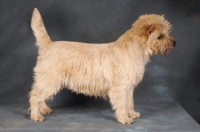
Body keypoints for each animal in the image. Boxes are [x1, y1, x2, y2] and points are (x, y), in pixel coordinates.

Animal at [28, 8, 176, 124]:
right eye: (160, 36)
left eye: (167, 32)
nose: (175, 43)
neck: (136, 50)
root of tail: (48, 45)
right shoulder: (120, 88)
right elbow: (122, 104)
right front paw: (124, 118)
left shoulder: (129, 87)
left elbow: (129, 102)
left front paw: (132, 113)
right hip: (50, 81)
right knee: (35, 96)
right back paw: (36, 115)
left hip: (48, 81)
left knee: (40, 97)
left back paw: (44, 109)